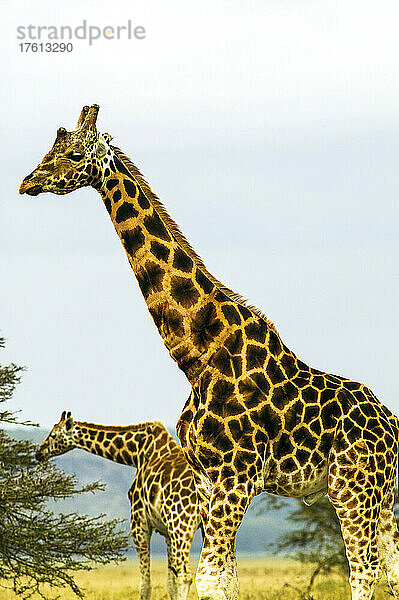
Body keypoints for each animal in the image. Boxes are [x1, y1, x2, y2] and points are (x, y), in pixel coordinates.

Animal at [36, 410, 202, 600]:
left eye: (54, 435)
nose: (39, 453)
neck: (136, 454)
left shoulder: (139, 521)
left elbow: (145, 585)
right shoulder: (166, 531)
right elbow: (170, 582)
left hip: (181, 523)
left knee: (185, 575)